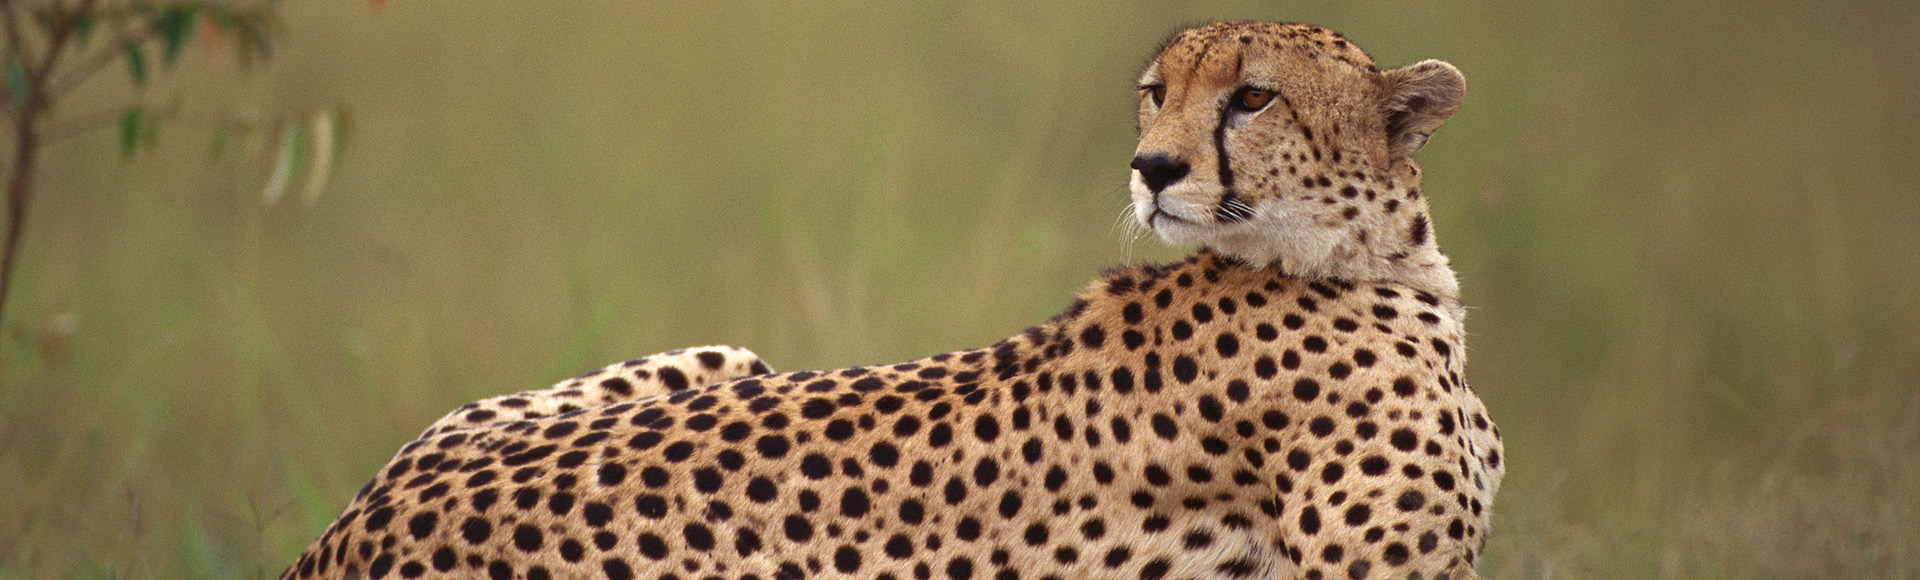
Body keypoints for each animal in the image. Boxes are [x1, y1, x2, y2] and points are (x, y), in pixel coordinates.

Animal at [280, 21, 1502, 580]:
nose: (1151, 167)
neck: (1367, 263)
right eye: (1159, 94)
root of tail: (346, 530)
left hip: (717, 358)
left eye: (1252, 98)